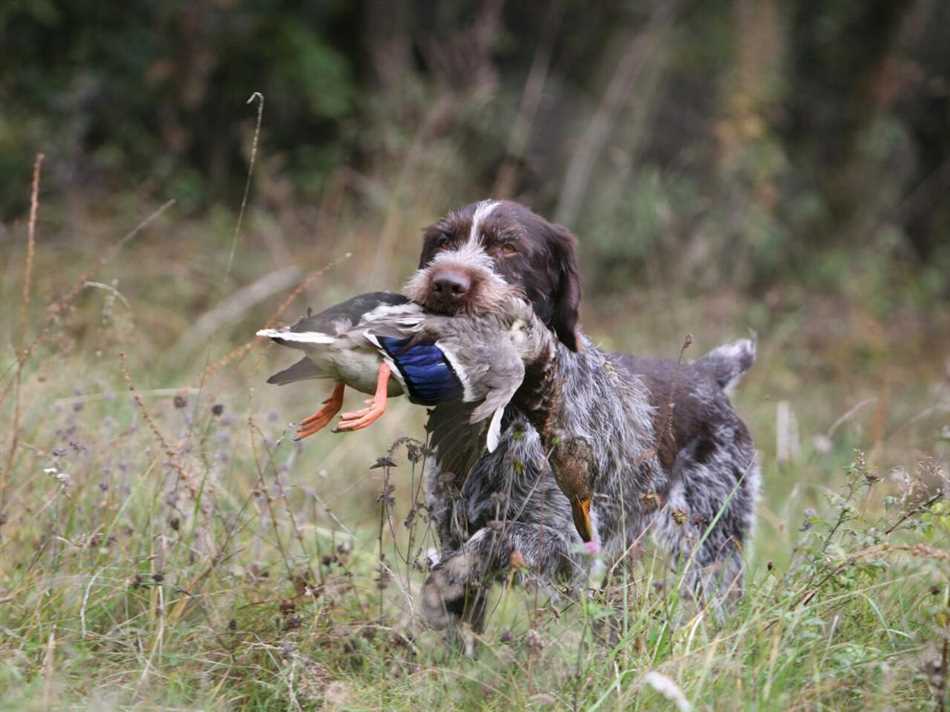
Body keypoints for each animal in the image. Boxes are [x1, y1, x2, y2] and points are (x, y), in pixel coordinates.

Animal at [406, 199, 764, 628]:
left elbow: (495, 539)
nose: (446, 283)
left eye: (509, 247)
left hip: (711, 546)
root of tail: (708, 374)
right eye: (445, 241)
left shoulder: (570, 548)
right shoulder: (452, 525)